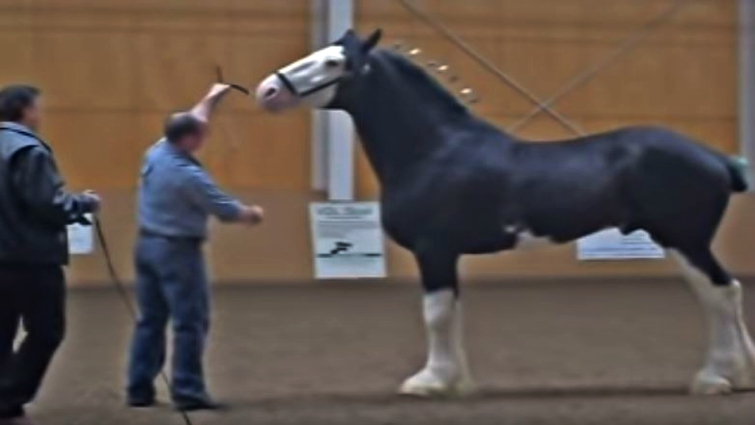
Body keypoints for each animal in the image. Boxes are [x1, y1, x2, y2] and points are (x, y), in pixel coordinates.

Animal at [254, 28, 755, 397]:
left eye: (334, 63)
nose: (268, 89)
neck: (433, 149)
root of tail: (717, 158)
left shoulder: (434, 251)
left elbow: (435, 313)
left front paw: (428, 382)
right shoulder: (445, 255)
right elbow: (450, 312)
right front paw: (456, 383)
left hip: (684, 239)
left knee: (720, 294)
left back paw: (714, 378)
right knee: (720, 293)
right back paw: (738, 374)